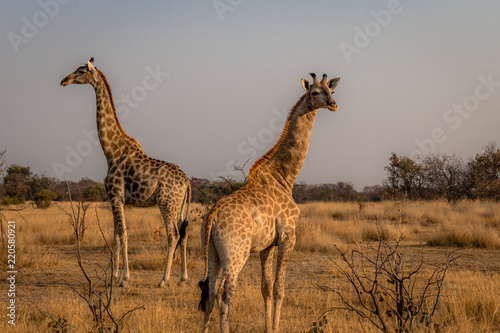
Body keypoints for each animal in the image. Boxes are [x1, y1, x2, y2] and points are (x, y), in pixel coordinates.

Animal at [59, 58, 191, 286]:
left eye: (81, 71)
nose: (64, 80)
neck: (111, 150)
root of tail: (187, 182)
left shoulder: (116, 196)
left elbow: (123, 234)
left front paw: (124, 278)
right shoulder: (114, 199)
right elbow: (115, 235)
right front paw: (113, 276)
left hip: (166, 203)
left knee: (173, 235)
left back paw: (164, 280)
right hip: (179, 206)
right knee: (183, 234)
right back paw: (182, 278)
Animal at [198, 73, 340, 332]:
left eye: (331, 90)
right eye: (315, 92)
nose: (333, 104)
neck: (284, 176)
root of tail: (212, 217)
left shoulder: (266, 246)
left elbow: (265, 287)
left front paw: (268, 327)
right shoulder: (288, 237)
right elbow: (279, 288)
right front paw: (275, 327)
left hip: (212, 252)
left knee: (210, 293)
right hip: (236, 253)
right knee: (225, 295)